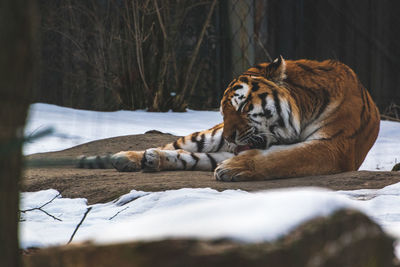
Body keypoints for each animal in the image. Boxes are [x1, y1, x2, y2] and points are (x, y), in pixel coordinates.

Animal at [79, 56, 380, 182]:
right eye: (224, 111)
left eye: (244, 105)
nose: (229, 137)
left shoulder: (334, 146)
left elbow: (284, 157)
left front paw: (235, 168)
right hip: (208, 137)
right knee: (177, 146)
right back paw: (127, 157)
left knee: (189, 157)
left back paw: (150, 160)